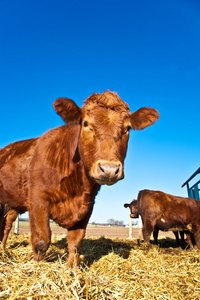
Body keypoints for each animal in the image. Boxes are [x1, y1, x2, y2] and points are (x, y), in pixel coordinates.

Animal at [0, 91, 159, 264]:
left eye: (128, 128)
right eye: (86, 123)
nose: (109, 169)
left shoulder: (87, 205)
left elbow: (76, 243)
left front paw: (73, 270)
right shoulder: (38, 201)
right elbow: (41, 241)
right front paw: (37, 267)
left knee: (7, 224)